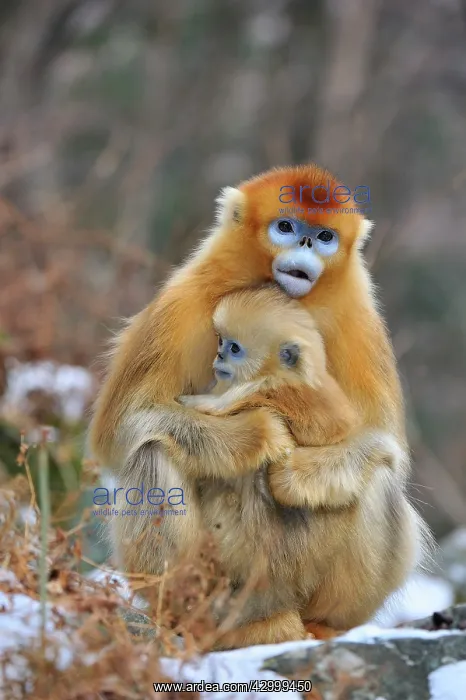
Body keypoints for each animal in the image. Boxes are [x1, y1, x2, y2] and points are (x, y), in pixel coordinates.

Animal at [89, 163, 430, 648]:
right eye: (285, 227)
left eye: (324, 236)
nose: (306, 245)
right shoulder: (181, 302)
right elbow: (118, 430)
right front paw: (261, 434)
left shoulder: (359, 319)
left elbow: (385, 444)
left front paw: (295, 474)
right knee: (151, 450)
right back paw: (208, 624)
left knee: (378, 475)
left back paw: (323, 625)